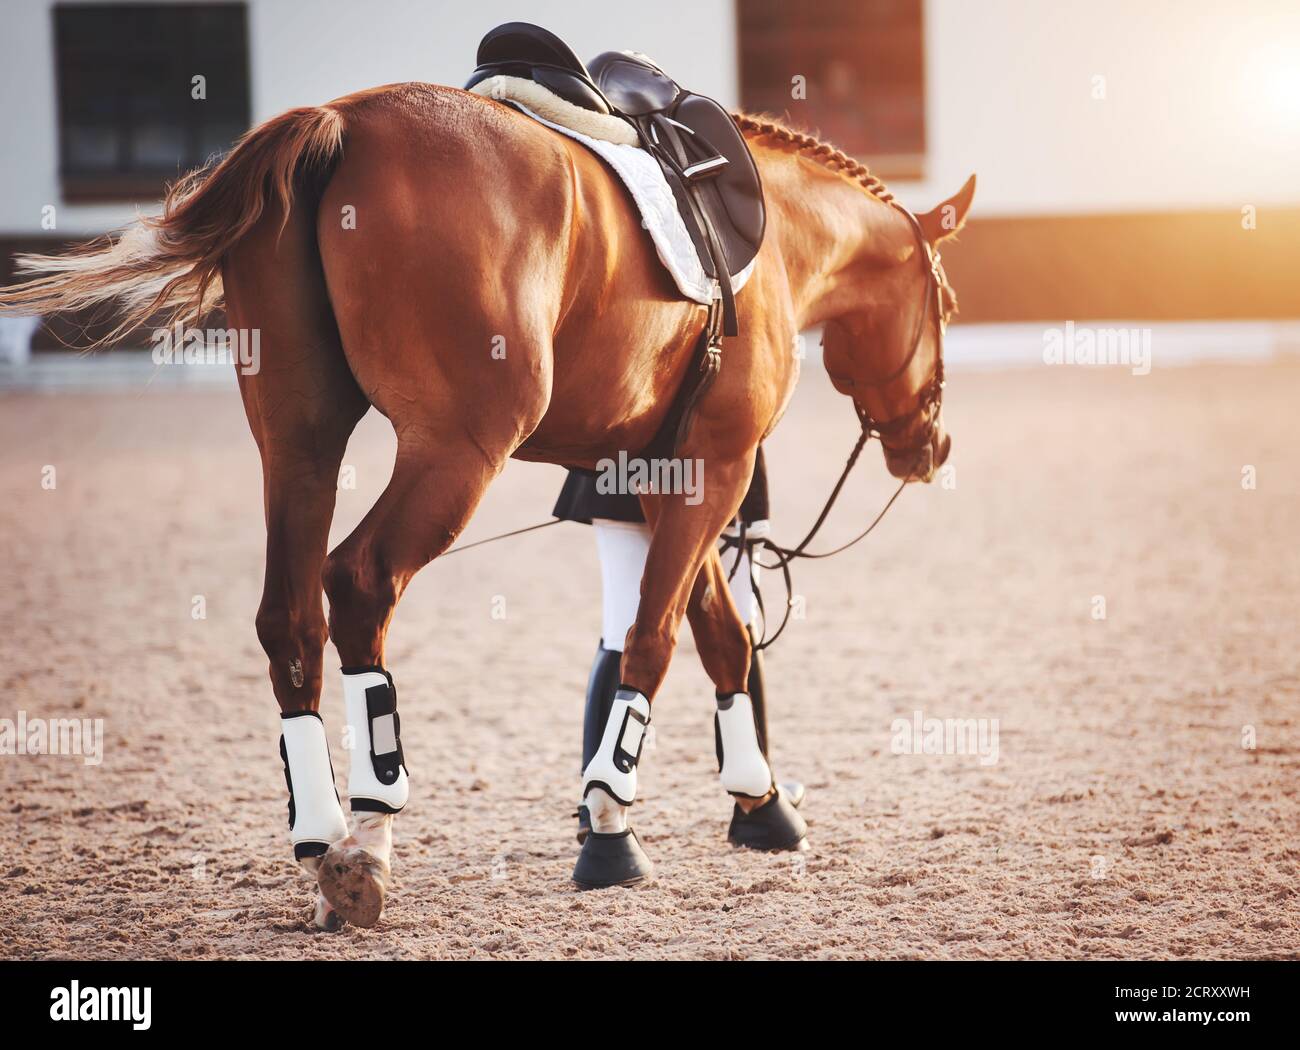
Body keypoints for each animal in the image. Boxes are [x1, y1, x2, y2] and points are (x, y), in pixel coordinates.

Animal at [0, 81, 972, 928]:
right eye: (948, 304)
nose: (932, 446)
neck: (771, 239)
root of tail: (342, 121)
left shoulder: (656, 477)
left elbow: (716, 635)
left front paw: (760, 803)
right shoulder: (716, 467)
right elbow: (657, 641)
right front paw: (612, 820)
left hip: (299, 442)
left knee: (291, 619)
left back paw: (322, 843)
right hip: (458, 451)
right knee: (360, 583)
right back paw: (370, 839)